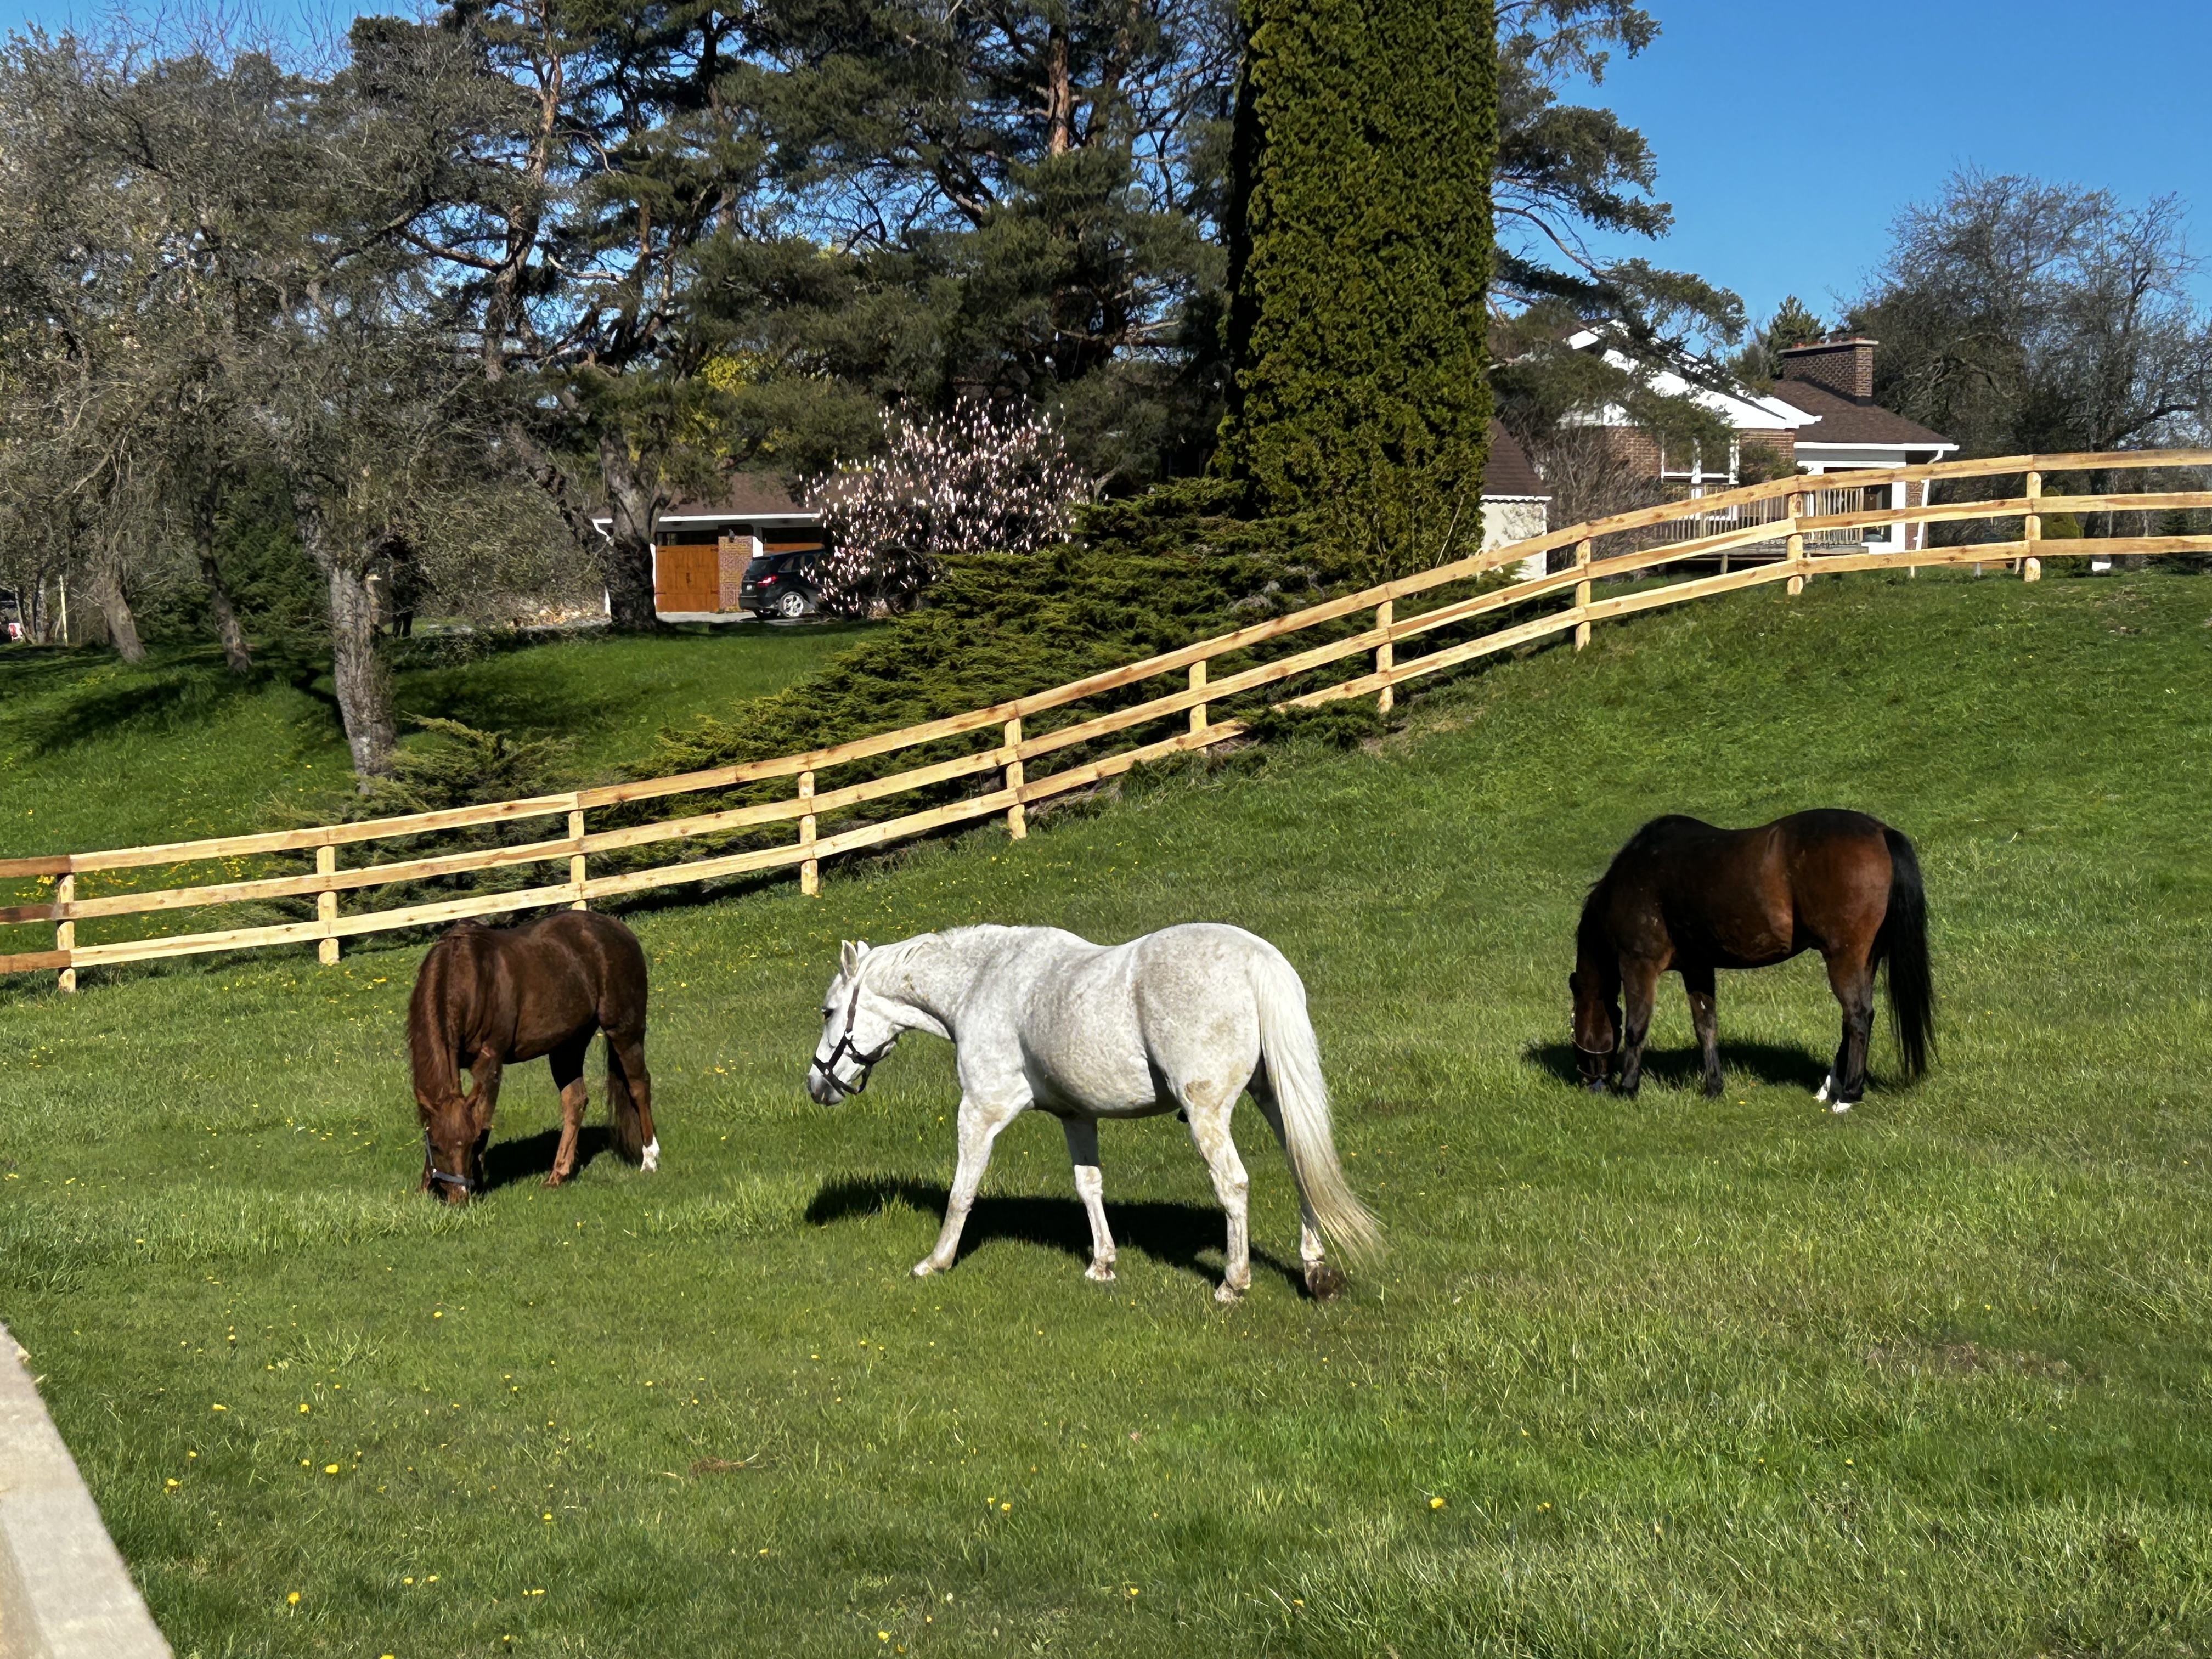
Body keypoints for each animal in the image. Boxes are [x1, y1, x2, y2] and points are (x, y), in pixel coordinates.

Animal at [407, 909, 657, 1201]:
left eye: (470, 1144)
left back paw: (650, 1159)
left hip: (624, 1030)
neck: (466, 976)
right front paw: (424, 1189)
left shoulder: (490, 1061)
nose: (459, 1197)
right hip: (568, 1045)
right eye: (435, 1145)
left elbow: (483, 1119)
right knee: (575, 1101)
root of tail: (620, 931)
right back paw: (557, 1175)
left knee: (639, 1086)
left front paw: (479, 1181)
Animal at [807, 923, 1382, 1302]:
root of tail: (1257, 959)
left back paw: (1232, 1283)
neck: (983, 982)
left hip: (1207, 1114)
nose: (817, 1085)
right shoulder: (1076, 1116)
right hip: (1276, 1100)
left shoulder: (982, 1111)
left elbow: (962, 1193)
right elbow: (1089, 1186)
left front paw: (936, 1261)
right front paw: (1102, 1263)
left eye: (829, 1011)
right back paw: (1315, 1269)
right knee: (1303, 1170)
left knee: (1233, 1185)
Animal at [1570, 810, 1933, 1111]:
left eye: (1574, 1019)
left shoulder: (1638, 964)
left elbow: (1637, 1026)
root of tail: (1881, 832)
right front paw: (1713, 1087)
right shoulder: (1697, 967)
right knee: (1852, 1017)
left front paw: (1628, 1087)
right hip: (1865, 960)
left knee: (1858, 1016)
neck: (1637, 872)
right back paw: (1832, 1086)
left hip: (1844, 957)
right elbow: (1706, 1026)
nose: (1589, 1079)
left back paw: (1848, 1095)